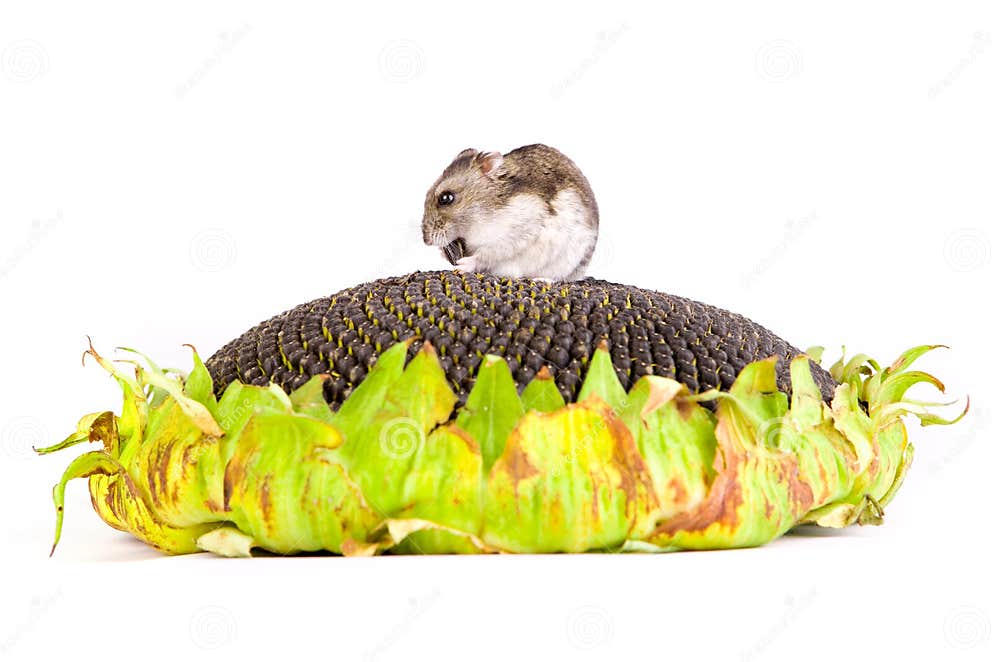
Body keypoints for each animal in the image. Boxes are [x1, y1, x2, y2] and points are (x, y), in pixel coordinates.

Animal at [421, 144, 599, 282]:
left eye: (446, 198)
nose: (426, 241)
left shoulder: (516, 233)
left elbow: (487, 254)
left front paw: (462, 265)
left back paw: (540, 280)